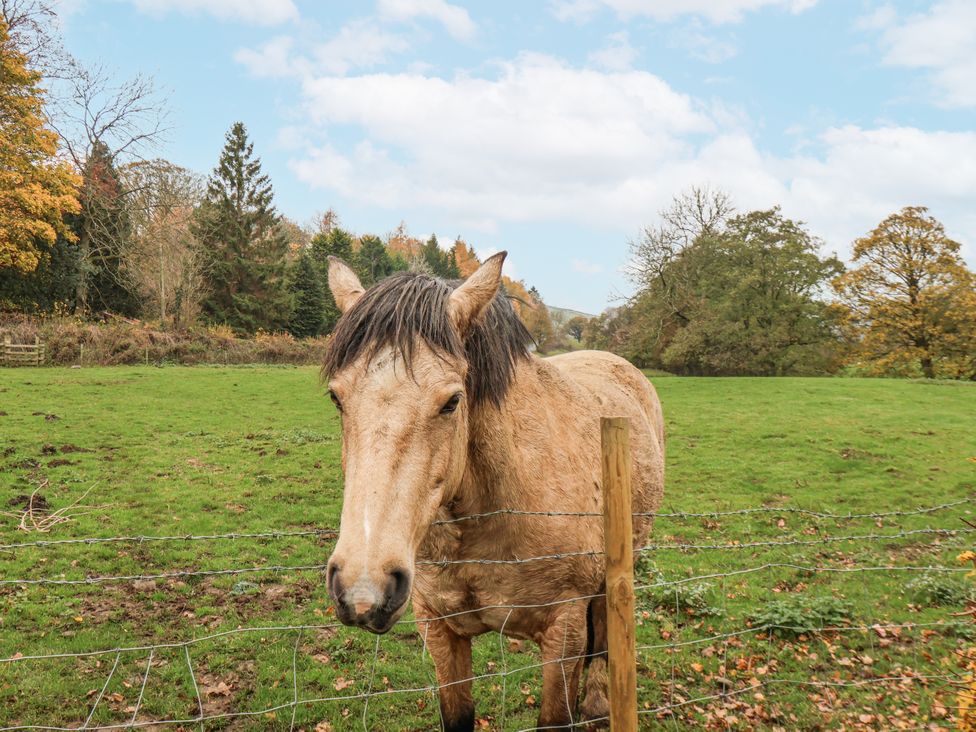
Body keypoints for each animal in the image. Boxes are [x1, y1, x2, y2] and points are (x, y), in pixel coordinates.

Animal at [322, 252, 665, 730]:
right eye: (337, 398)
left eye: (452, 401)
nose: (362, 590)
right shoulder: (439, 628)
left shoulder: (563, 633)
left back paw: (598, 705)